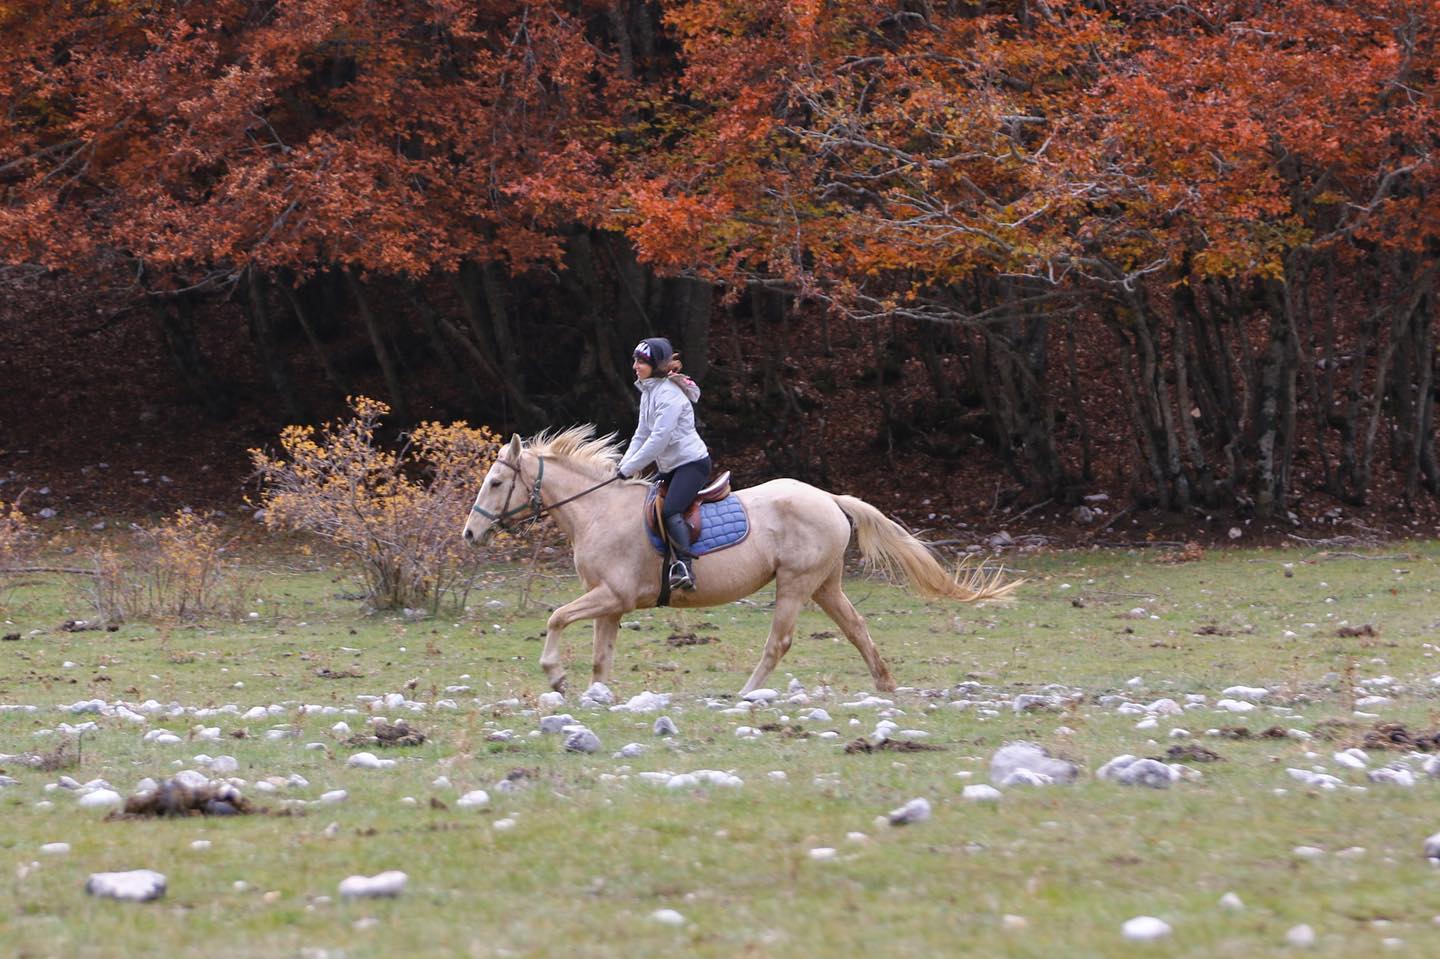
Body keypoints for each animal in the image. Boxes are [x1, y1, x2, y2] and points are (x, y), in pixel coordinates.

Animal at [463, 426, 1025, 694]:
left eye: (496, 482)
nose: (470, 534)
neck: (597, 511)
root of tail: (830, 499)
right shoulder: (613, 604)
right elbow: (602, 656)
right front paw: (594, 695)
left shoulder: (612, 595)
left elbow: (558, 618)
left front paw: (556, 675)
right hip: (826, 585)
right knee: (858, 628)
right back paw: (885, 684)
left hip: (795, 584)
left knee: (779, 642)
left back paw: (746, 693)